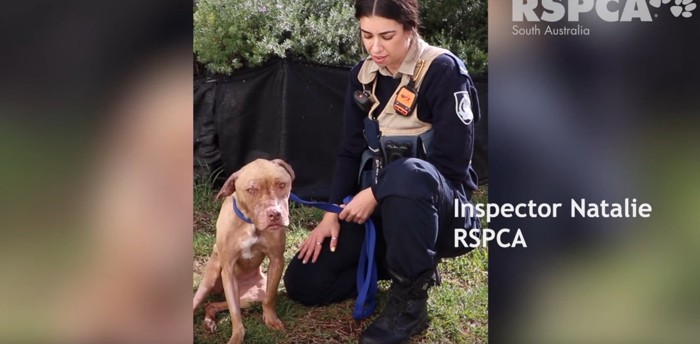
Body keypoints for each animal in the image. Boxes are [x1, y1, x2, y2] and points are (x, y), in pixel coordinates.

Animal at [194, 159, 296, 344]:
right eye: (251, 190)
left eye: (282, 185)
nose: (275, 214)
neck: (250, 223)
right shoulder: (228, 269)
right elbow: (235, 313)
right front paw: (237, 336)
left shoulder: (277, 260)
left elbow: (269, 298)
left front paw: (271, 320)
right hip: (210, 280)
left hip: (250, 298)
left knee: (212, 304)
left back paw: (210, 321)